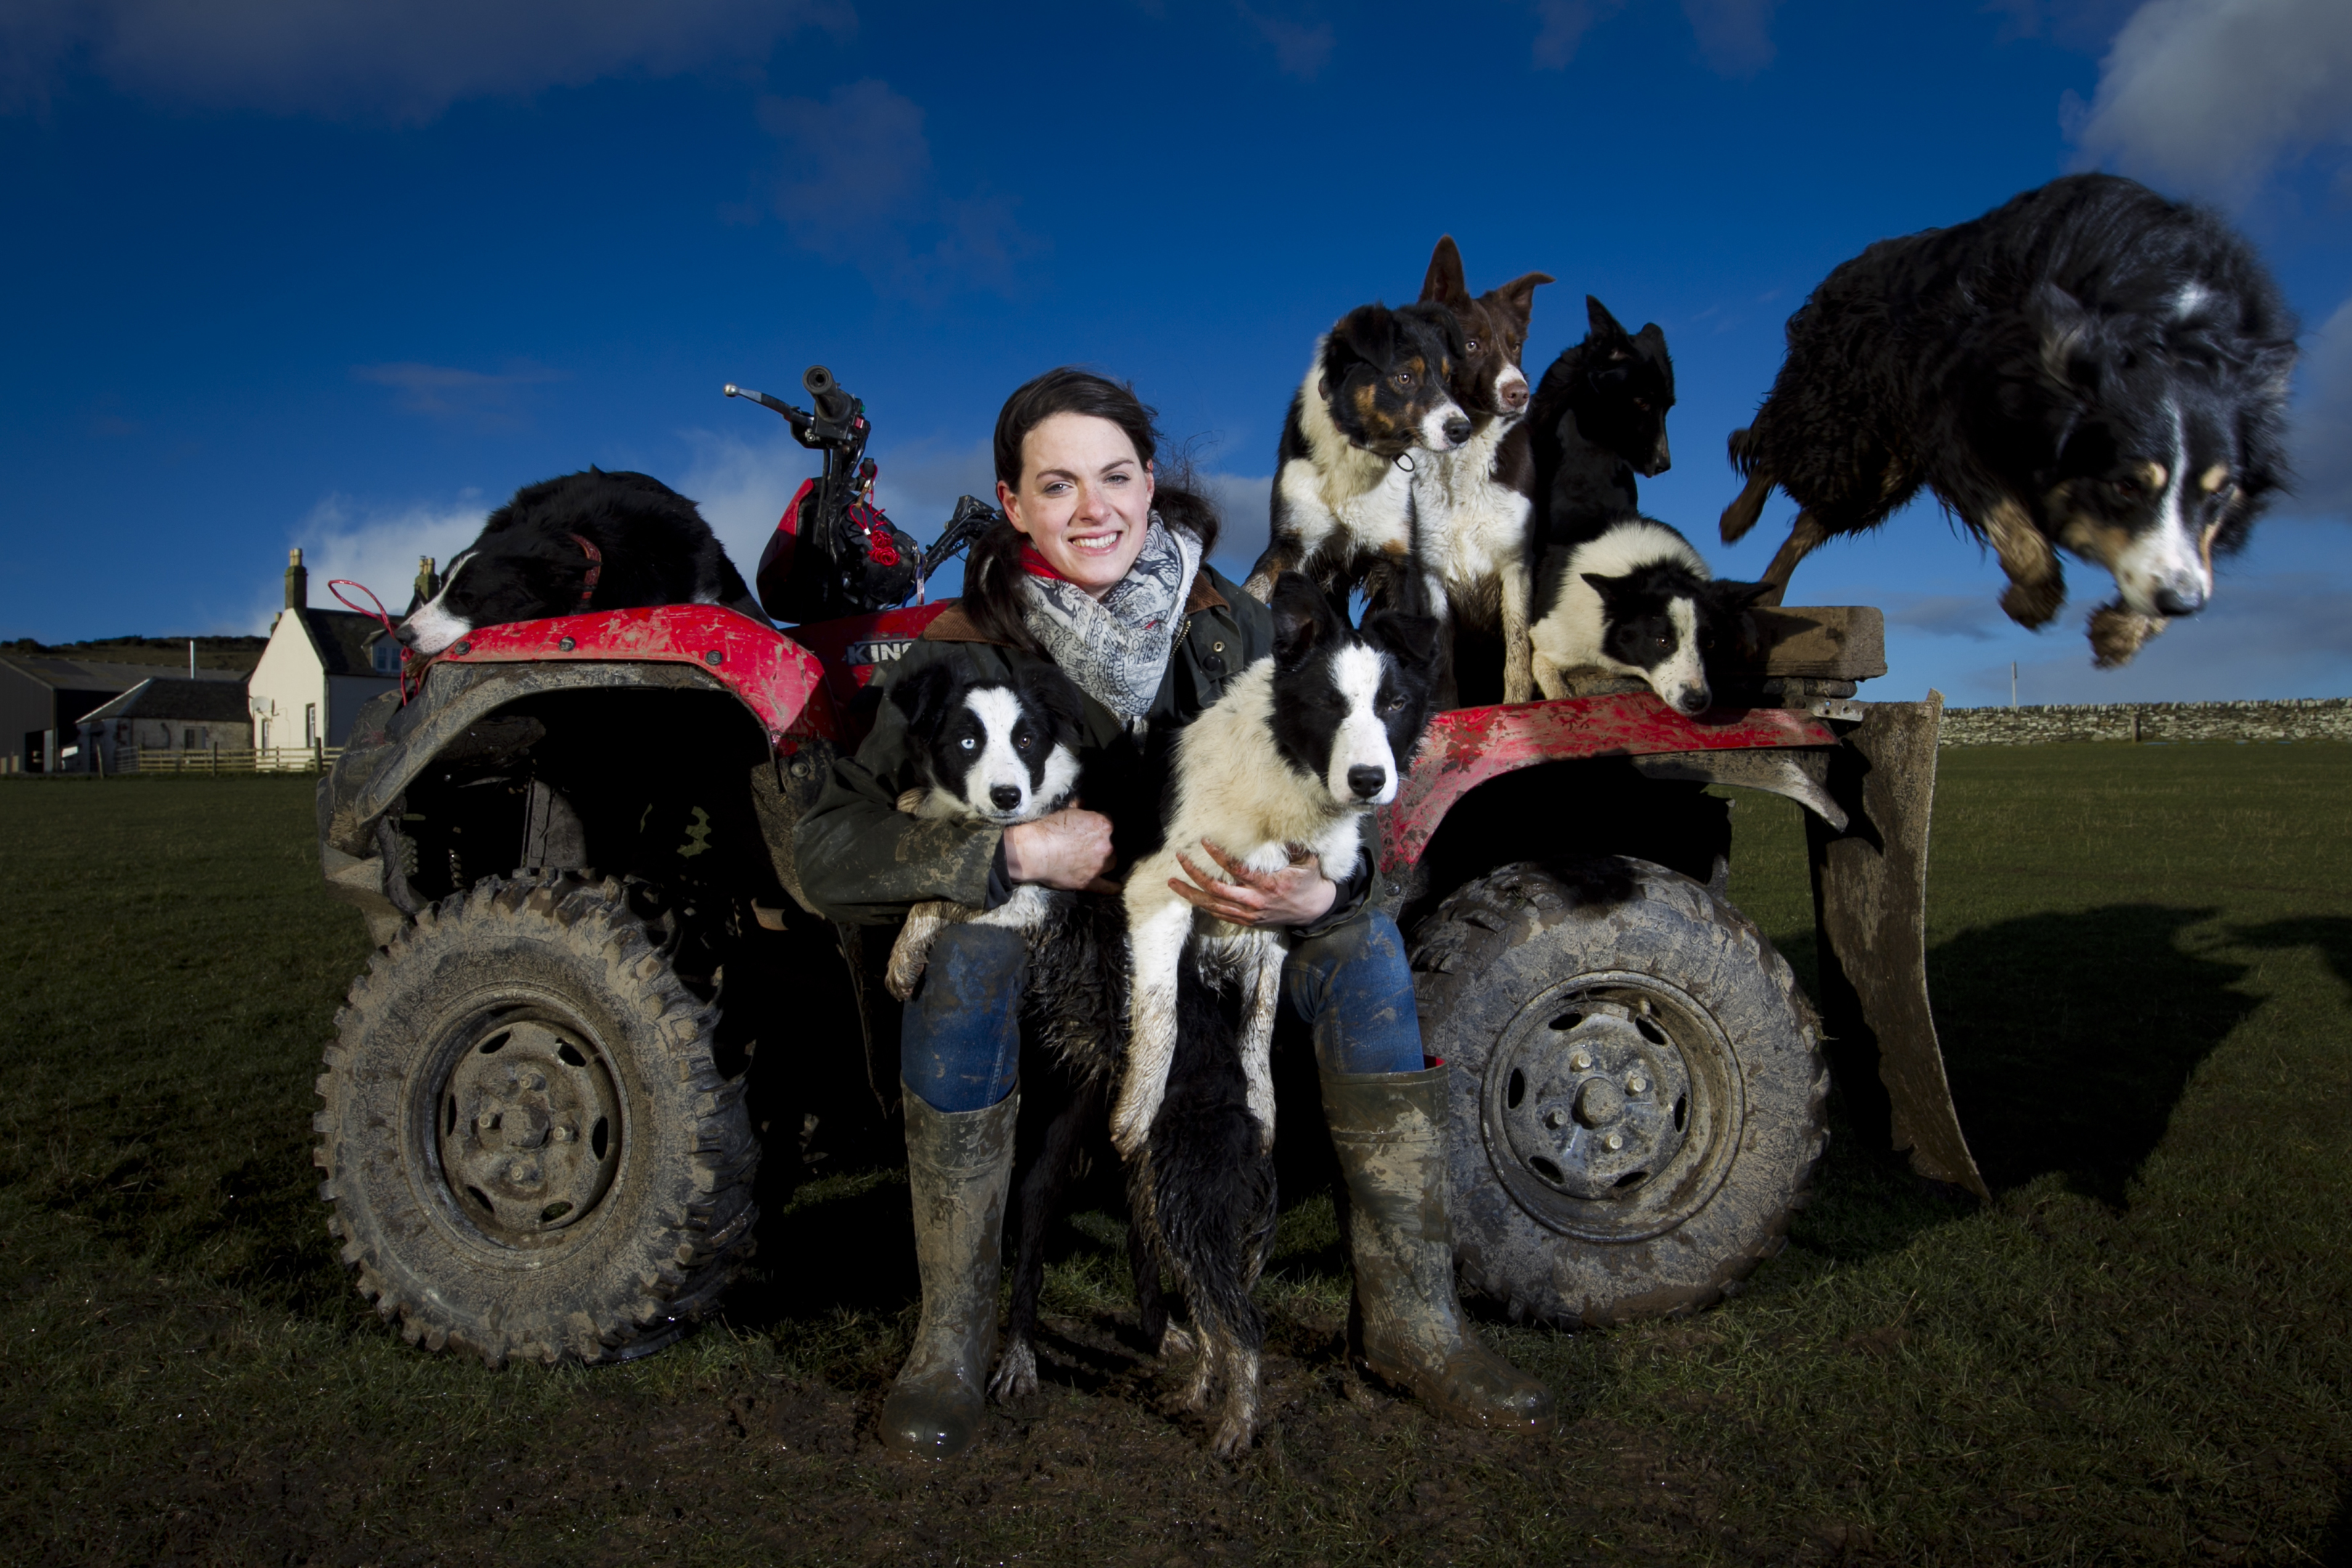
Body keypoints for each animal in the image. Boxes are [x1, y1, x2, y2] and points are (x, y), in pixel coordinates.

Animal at [1712, 175, 2295, 667]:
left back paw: (1770, 595)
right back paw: (1736, 520)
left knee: (1806, 524)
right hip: (1845, 434)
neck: (2163, 323)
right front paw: (2031, 602)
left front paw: (2121, 631)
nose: (2180, 603)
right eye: (2126, 486)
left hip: (1880, 473)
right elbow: (2024, 541)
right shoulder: (1957, 416)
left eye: (2219, 493)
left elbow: (2191, 552)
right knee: (1775, 443)